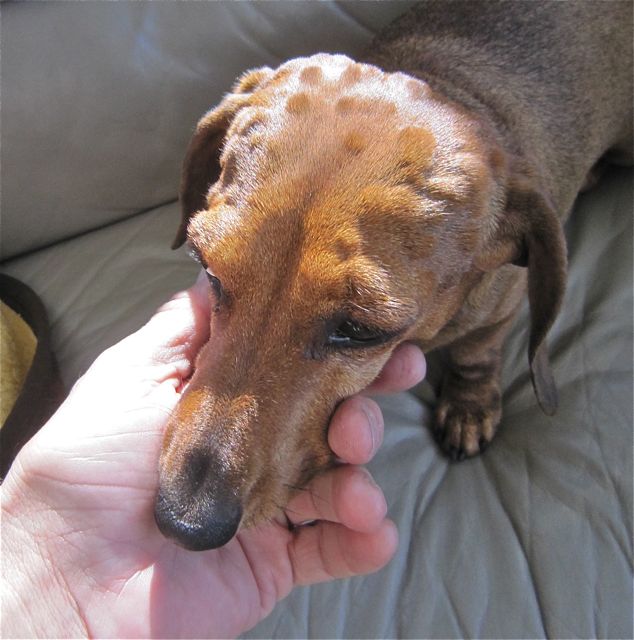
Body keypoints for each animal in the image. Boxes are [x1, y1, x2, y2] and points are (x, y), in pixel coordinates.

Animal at [154, 1, 633, 551]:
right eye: (207, 267)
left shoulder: (501, 307)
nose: (184, 523)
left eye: (360, 331)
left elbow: (476, 353)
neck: (451, 86)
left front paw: (469, 407)